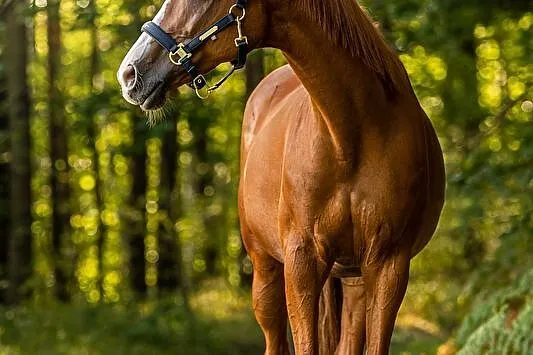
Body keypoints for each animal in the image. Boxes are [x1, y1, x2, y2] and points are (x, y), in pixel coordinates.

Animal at [117, 0, 444, 355]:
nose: (129, 73)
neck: (350, 136)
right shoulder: (302, 261)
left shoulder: (388, 266)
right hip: (265, 271)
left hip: (354, 279)